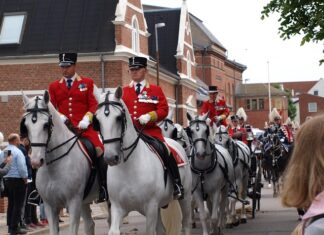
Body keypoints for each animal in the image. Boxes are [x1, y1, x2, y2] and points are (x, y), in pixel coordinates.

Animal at [21, 90, 105, 235]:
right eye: (26, 126)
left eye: (46, 125)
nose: (36, 161)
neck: (54, 166)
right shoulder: (50, 206)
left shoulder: (74, 203)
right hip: (85, 201)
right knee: (90, 225)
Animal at [93, 87, 192, 235]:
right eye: (97, 121)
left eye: (118, 118)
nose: (110, 157)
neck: (128, 166)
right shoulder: (117, 207)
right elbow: (114, 230)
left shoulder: (151, 207)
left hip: (185, 198)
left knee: (185, 224)